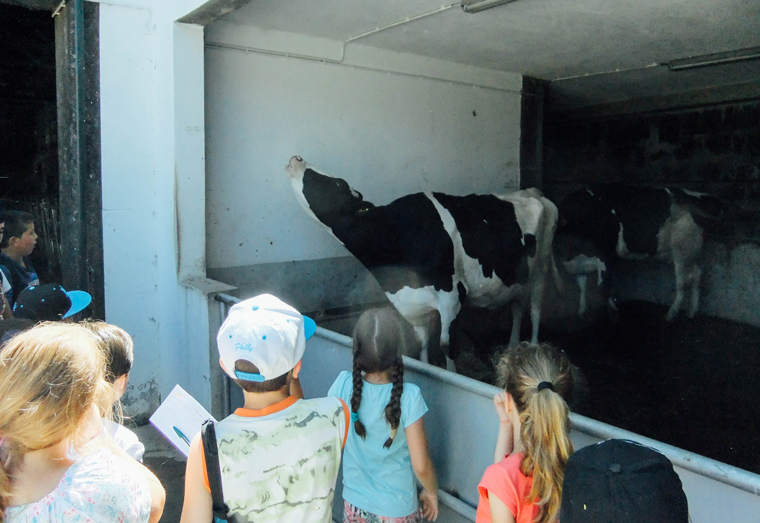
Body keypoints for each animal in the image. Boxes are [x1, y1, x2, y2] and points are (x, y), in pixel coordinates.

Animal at [284, 155, 560, 368]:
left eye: (338, 183)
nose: (296, 158)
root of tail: (533, 191)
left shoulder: (452, 297)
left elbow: (447, 346)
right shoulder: (410, 304)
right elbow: (423, 345)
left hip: (541, 270)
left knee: (535, 310)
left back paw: (534, 348)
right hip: (517, 278)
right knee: (517, 307)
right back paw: (512, 348)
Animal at [560, 184, 720, 324]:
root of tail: (695, 194)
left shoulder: (606, 255)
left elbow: (604, 287)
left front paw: (613, 314)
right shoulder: (578, 265)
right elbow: (582, 287)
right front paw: (581, 312)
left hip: (682, 251)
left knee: (682, 283)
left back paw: (671, 314)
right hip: (691, 253)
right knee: (697, 274)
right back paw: (692, 312)